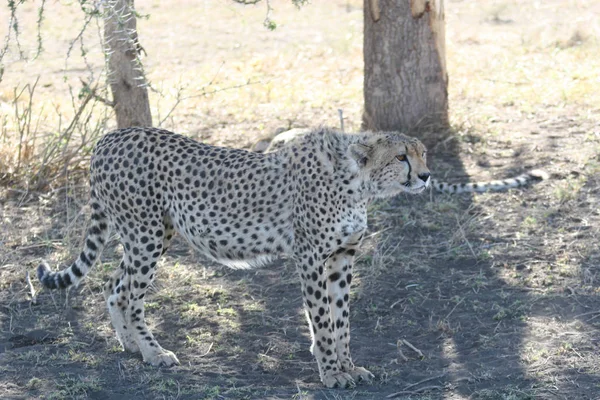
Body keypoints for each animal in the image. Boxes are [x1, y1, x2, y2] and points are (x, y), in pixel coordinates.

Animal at [38, 126, 432, 388]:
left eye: (423, 153)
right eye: (401, 157)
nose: (427, 176)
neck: (358, 182)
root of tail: (111, 136)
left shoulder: (341, 257)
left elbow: (341, 319)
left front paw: (348, 366)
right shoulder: (309, 257)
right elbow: (322, 318)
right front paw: (332, 372)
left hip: (153, 234)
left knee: (114, 286)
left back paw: (131, 345)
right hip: (144, 234)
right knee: (132, 298)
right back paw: (153, 353)